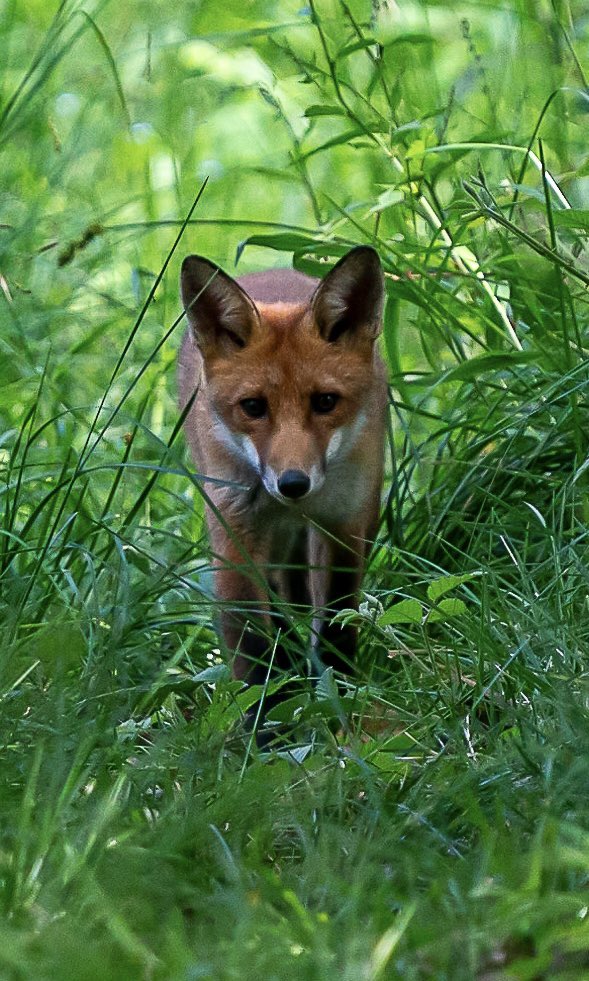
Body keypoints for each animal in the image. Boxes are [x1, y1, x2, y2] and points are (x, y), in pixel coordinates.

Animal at [178, 246, 388, 733]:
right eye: (253, 407)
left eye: (325, 401)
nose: (293, 483)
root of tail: (272, 271)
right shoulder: (234, 533)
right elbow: (251, 644)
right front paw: (268, 731)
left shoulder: (343, 523)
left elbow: (337, 618)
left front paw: (339, 695)